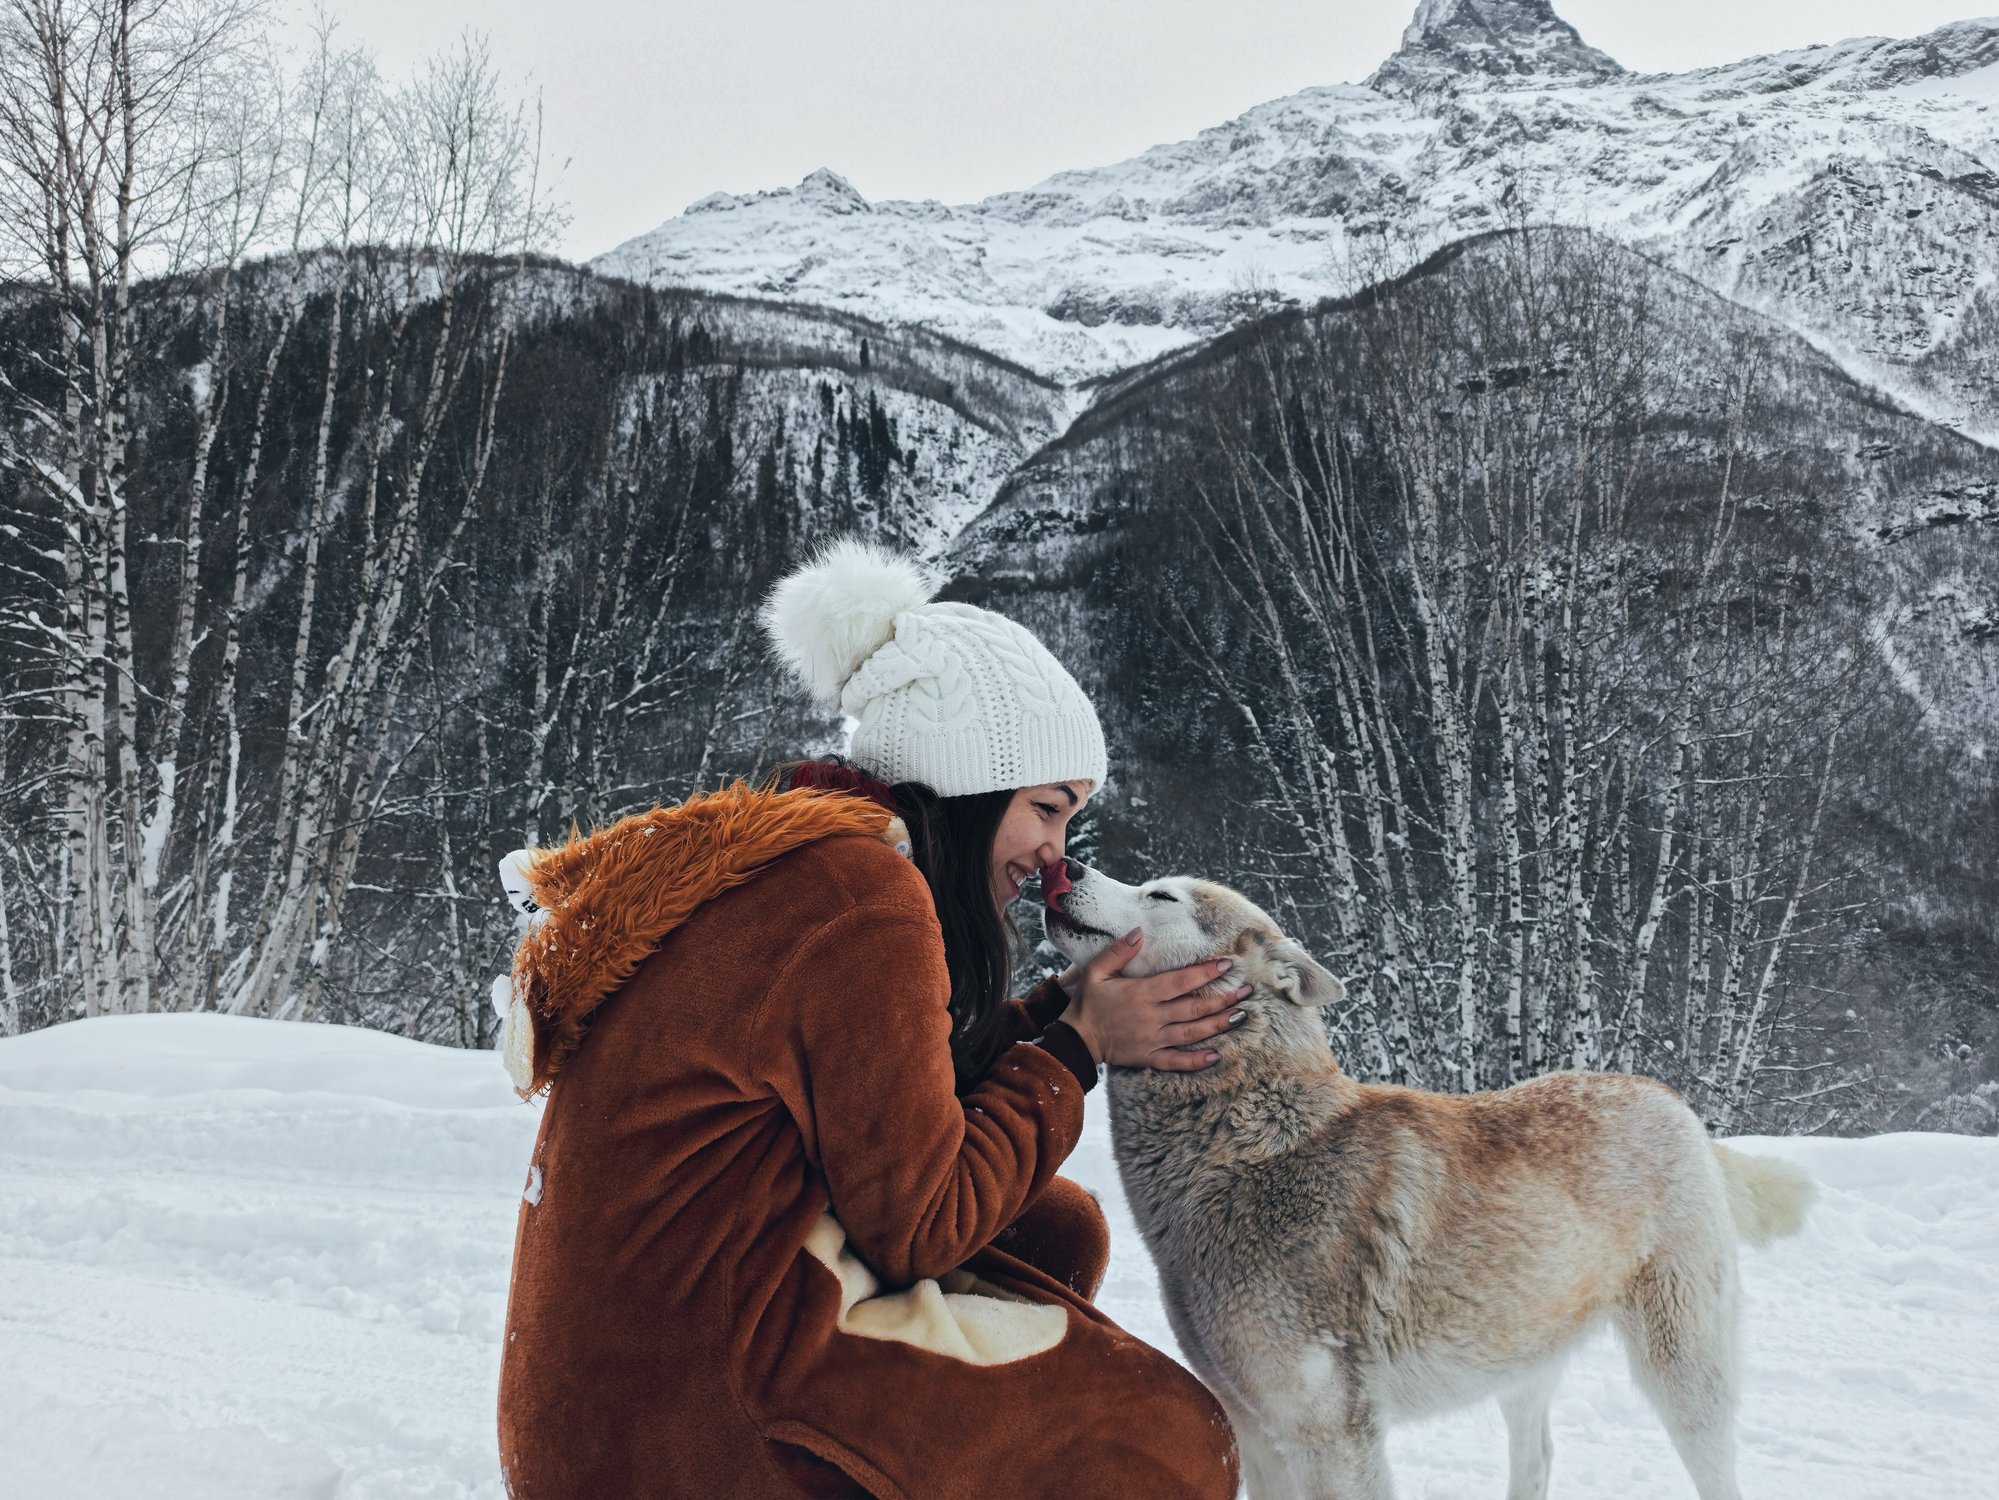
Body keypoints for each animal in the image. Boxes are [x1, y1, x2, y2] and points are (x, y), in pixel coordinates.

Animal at [1047, 864, 1815, 1496]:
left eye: (1160, 895)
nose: (1065, 865)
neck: (1245, 1149)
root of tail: (1667, 1096)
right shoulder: (1255, 1434)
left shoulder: (1331, 1437)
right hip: (1520, 1359)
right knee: (1537, 1460)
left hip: (1680, 1375)